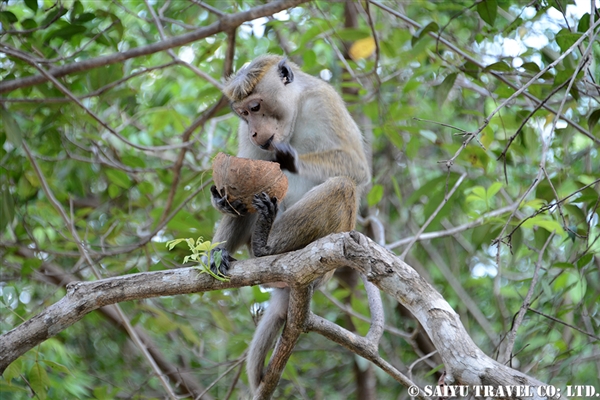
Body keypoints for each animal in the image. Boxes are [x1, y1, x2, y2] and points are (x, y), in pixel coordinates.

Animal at [210, 54, 370, 394]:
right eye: (244, 115)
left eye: (256, 106)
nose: (255, 132)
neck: (295, 112)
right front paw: (223, 201)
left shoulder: (324, 102)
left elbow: (356, 168)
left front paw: (289, 158)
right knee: (253, 205)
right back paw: (229, 250)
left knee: (342, 186)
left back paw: (266, 246)